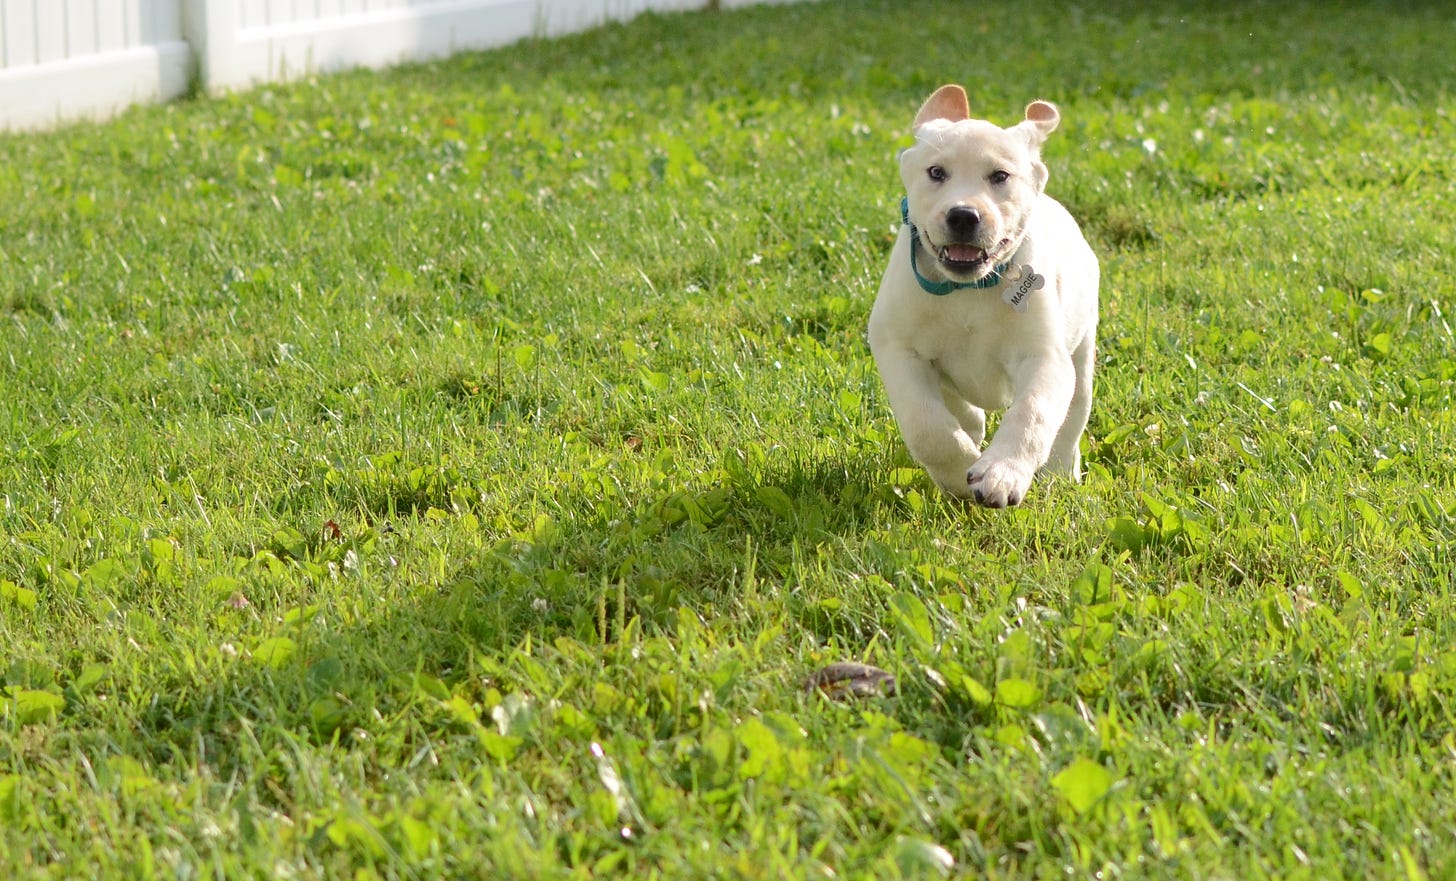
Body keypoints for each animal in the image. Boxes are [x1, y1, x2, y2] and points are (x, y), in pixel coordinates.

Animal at [867, 86, 1094, 509]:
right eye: (936, 173)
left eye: (1000, 176)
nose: (963, 216)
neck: (967, 289)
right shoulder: (898, 349)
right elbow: (926, 425)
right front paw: (958, 474)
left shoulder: (1044, 357)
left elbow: (1032, 412)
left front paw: (1001, 474)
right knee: (961, 409)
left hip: (1083, 352)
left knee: (1071, 420)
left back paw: (1060, 474)